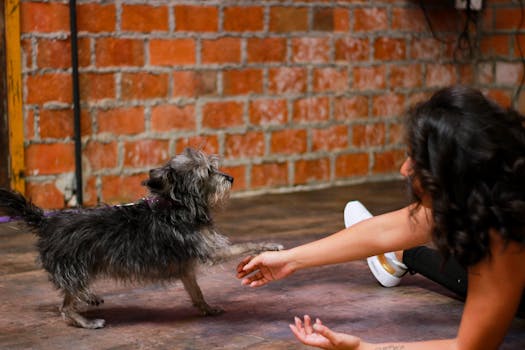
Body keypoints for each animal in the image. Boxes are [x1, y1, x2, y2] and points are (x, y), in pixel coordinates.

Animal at [0, 147, 282, 328]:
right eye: (207, 173)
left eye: (215, 167)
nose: (231, 177)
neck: (176, 206)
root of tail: (47, 220)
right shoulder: (211, 250)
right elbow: (246, 244)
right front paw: (269, 245)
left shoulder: (186, 268)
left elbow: (196, 290)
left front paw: (206, 308)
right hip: (76, 266)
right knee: (65, 308)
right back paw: (86, 322)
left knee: (72, 294)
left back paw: (89, 297)